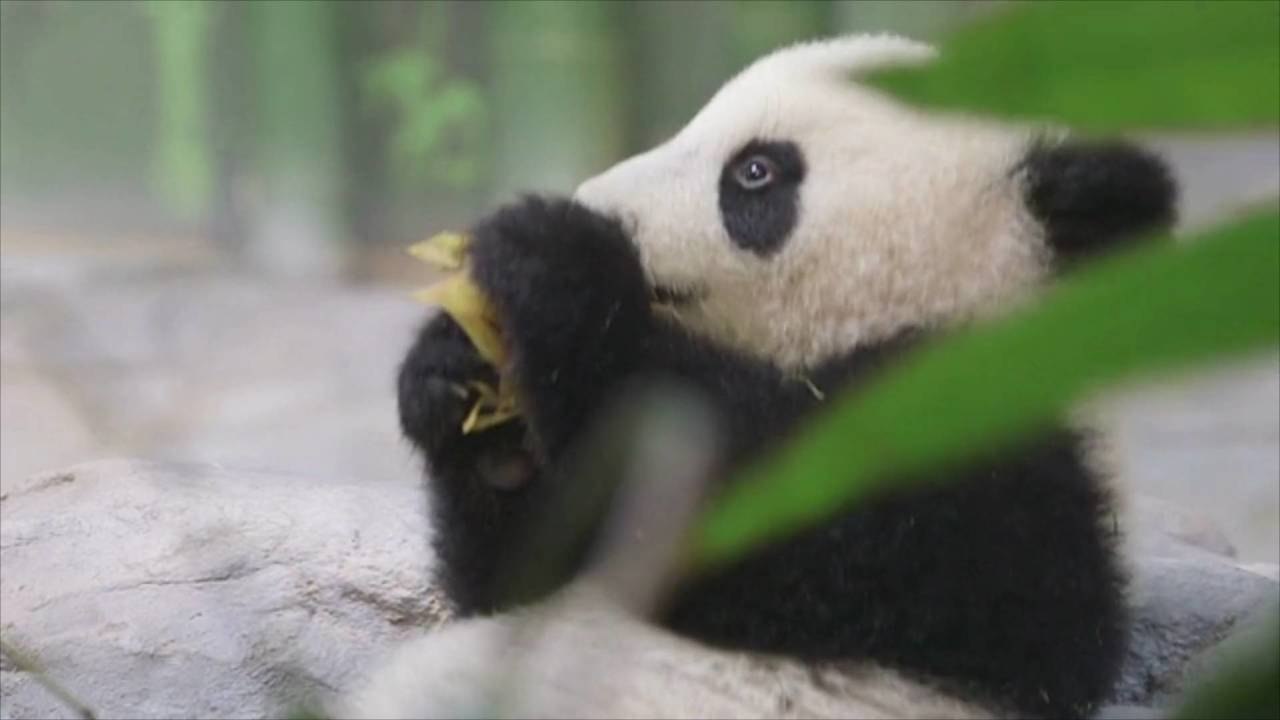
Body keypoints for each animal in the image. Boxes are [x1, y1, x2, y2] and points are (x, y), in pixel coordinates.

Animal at [367, 34, 1177, 720]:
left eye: (755, 171)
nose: (597, 200)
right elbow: (526, 575)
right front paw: (458, 386)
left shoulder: (984, 463)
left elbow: (753, 517)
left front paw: (555, 264)